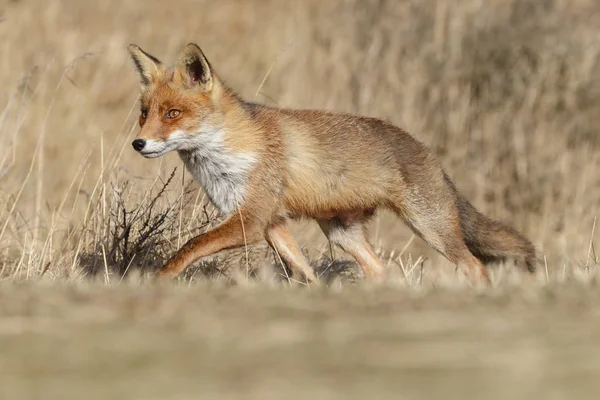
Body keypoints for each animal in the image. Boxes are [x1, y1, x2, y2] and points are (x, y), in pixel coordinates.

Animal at [127, 42, 540, 282]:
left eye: (173, 114)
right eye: (145, 113)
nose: (138, 143)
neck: (230, 152)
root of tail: (427, 151)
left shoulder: (252, 220)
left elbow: (189, 247)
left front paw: (154, 284)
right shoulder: (271, 222)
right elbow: (303, 269)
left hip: (431, 228)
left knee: (475, 265)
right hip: (342, 233)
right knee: (380, 270)